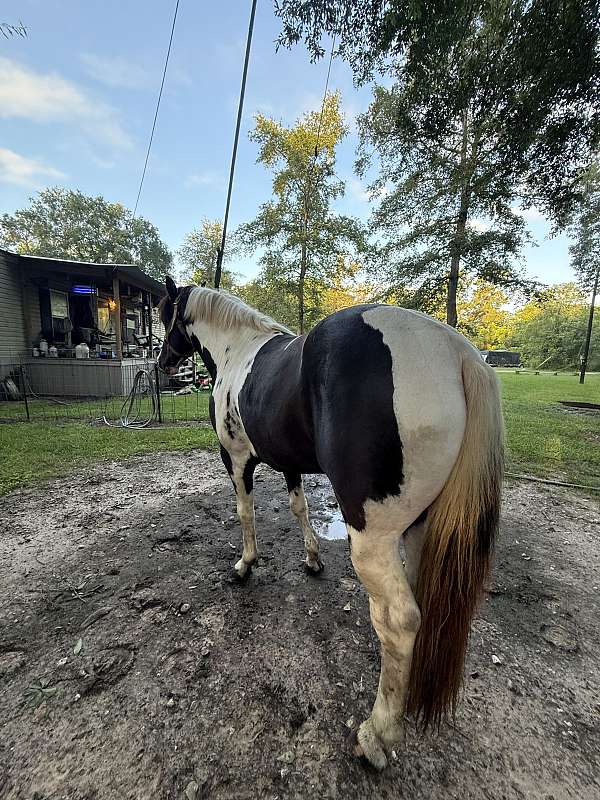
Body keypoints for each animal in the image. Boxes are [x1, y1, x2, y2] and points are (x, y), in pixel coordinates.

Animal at [157, 276, 504, 770]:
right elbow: (299, 507)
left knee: (400, 621)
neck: (236, 350)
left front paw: (245, 564)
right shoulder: (288, 462)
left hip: (374, 541)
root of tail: (459, 354)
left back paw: (377, 734)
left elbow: (245, 512)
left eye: (164, 312)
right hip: (422, 529)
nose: (162, 363)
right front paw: (312, 559)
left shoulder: (236, 458)